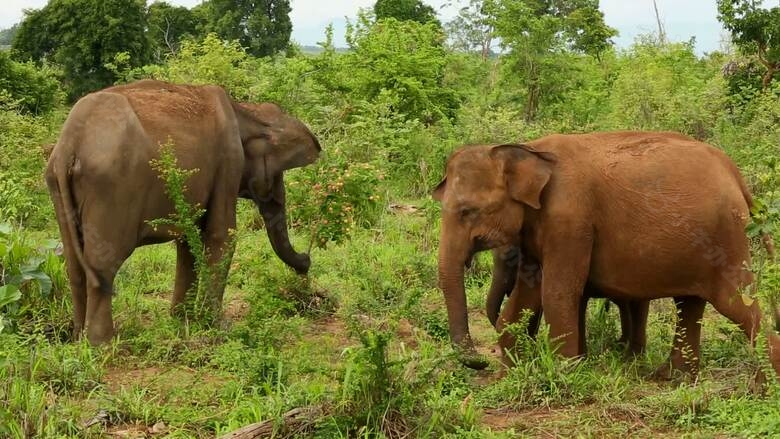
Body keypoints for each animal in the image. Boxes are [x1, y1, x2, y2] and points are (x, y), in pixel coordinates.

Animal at [45, 81, 322, 346]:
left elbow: (188, 241)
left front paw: (181, 320)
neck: (247, 111)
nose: (306, 261)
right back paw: (101, 345)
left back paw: (78, 338)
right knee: (103, 265)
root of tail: (69, 146)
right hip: (111, 188)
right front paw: (217, 326)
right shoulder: (229, 160)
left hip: (57, 186)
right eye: (277, 175)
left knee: (74, 264)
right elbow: (222, 236)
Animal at [432, 131, 780, 378]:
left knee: (738, 303)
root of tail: (735, 173)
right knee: (690, 304)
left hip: (725, 237)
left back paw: (763, 388)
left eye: (467, 211)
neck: (527, 149)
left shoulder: (570, 221)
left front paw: (564, 375)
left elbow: (557, 292)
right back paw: (672, 377)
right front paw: (509, 374)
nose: (478, 361)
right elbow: (527, 295)